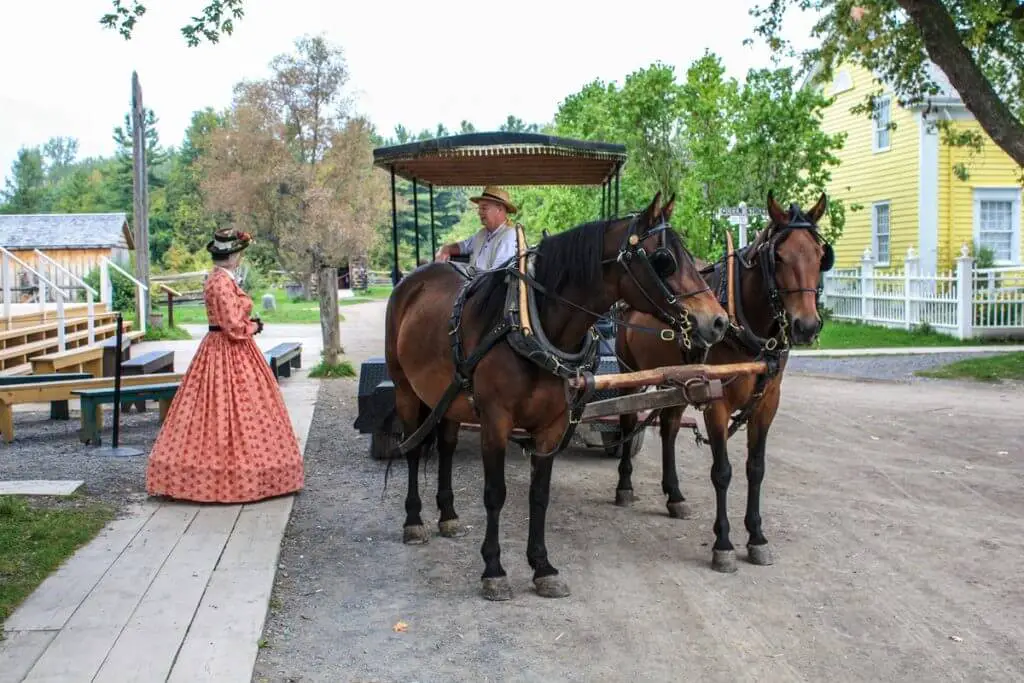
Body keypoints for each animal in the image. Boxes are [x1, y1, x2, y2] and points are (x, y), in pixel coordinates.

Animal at [385, 191, 729, 598]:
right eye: (664, 260)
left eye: (690, 256)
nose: (718, 321)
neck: (532, 325)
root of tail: (413, 281)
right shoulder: (496, 422)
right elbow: (495, 492)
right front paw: (494, 569)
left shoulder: (552, 424)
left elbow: (540, 494)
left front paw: (542, 567)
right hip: (406, 390)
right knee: (412, 448)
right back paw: (414, 520)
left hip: (450, 398)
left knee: (448, 446)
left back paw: (448, 515)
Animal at [610, 193, 835, 577]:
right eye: (778, 256)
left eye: (822, 256)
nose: (806, 326)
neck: (744, 322)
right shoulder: (717, 402)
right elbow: (722, 472)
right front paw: (724, 543)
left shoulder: (767, 403)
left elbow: (755, 469)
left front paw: (756, 536)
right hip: (629, 374)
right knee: (627, 423)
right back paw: (624, 485)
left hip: (679, 381)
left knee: (668, 428)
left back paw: (674, 495)